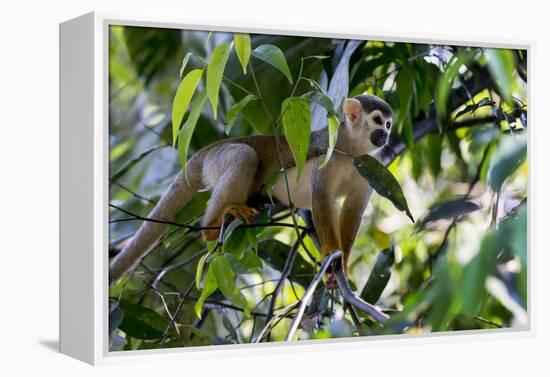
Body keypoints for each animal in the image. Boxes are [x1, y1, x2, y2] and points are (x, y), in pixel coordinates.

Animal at [109, 94, 392, 282]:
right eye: (377, 120)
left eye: (388, 124)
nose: (387, 135)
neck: (353, 149)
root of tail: (207, 151)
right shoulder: (329, 153)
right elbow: (321, 196)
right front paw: (331, 254)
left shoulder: (371, 165)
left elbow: (353, 209)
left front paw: (343, 262)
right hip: (218, 160)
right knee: (245, 156)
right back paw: (210, 228)